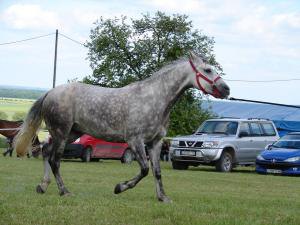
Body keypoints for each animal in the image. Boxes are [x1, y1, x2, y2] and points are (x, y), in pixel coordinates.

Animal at [14, 51, 230, 203]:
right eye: (208, 70)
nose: (226, 89)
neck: (154, 99)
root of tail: (50, 93)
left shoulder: (155, 143)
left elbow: (157, 171)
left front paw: (163, 198)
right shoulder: (135, 141)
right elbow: (144, 170)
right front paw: (119, 187)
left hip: (70, 134)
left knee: (45, 151)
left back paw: (43, 186)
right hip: (61, 132)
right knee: (55, 161)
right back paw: (64, 191)